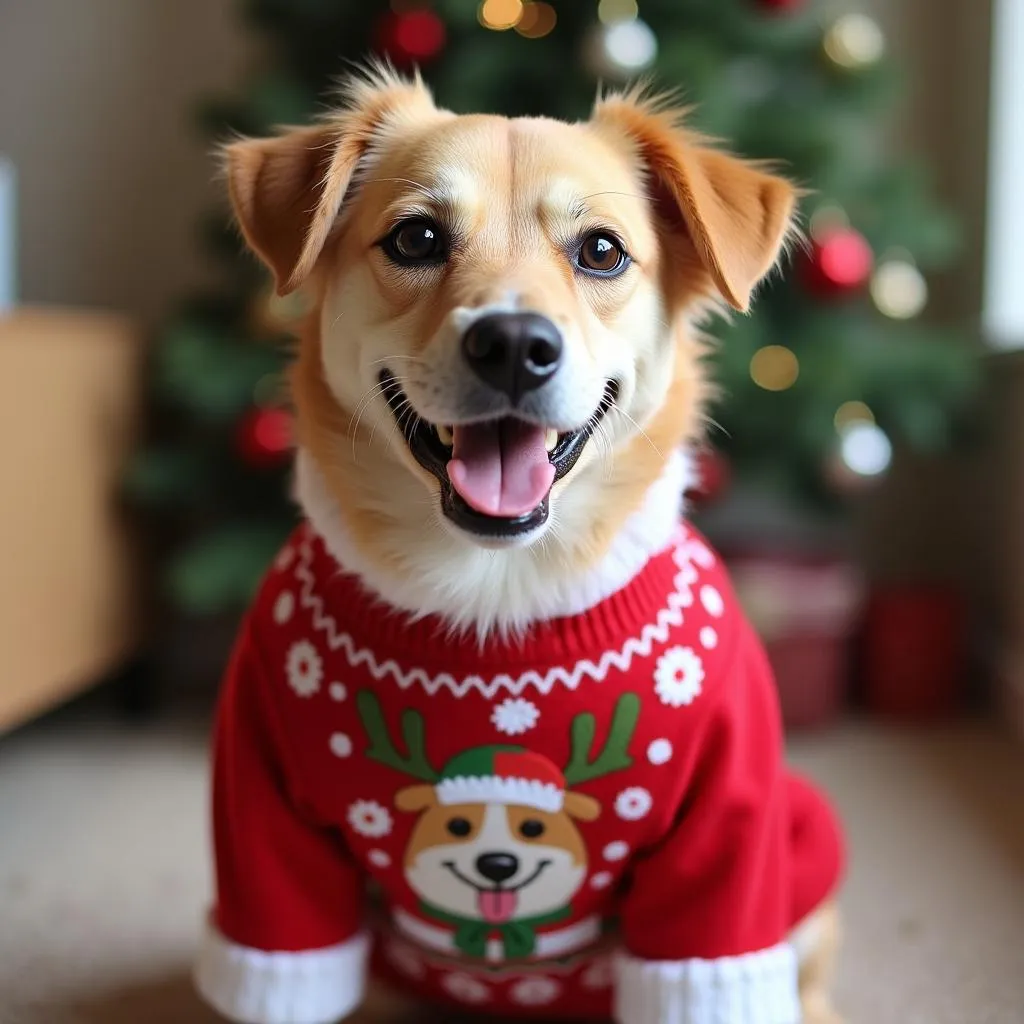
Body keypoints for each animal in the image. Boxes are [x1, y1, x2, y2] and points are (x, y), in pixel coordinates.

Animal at [195, 66, 843, 1024]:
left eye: (602, 251)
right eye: (417, 237)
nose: (511, 344)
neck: (494, 592)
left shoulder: (727, 838)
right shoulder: (263, 820)